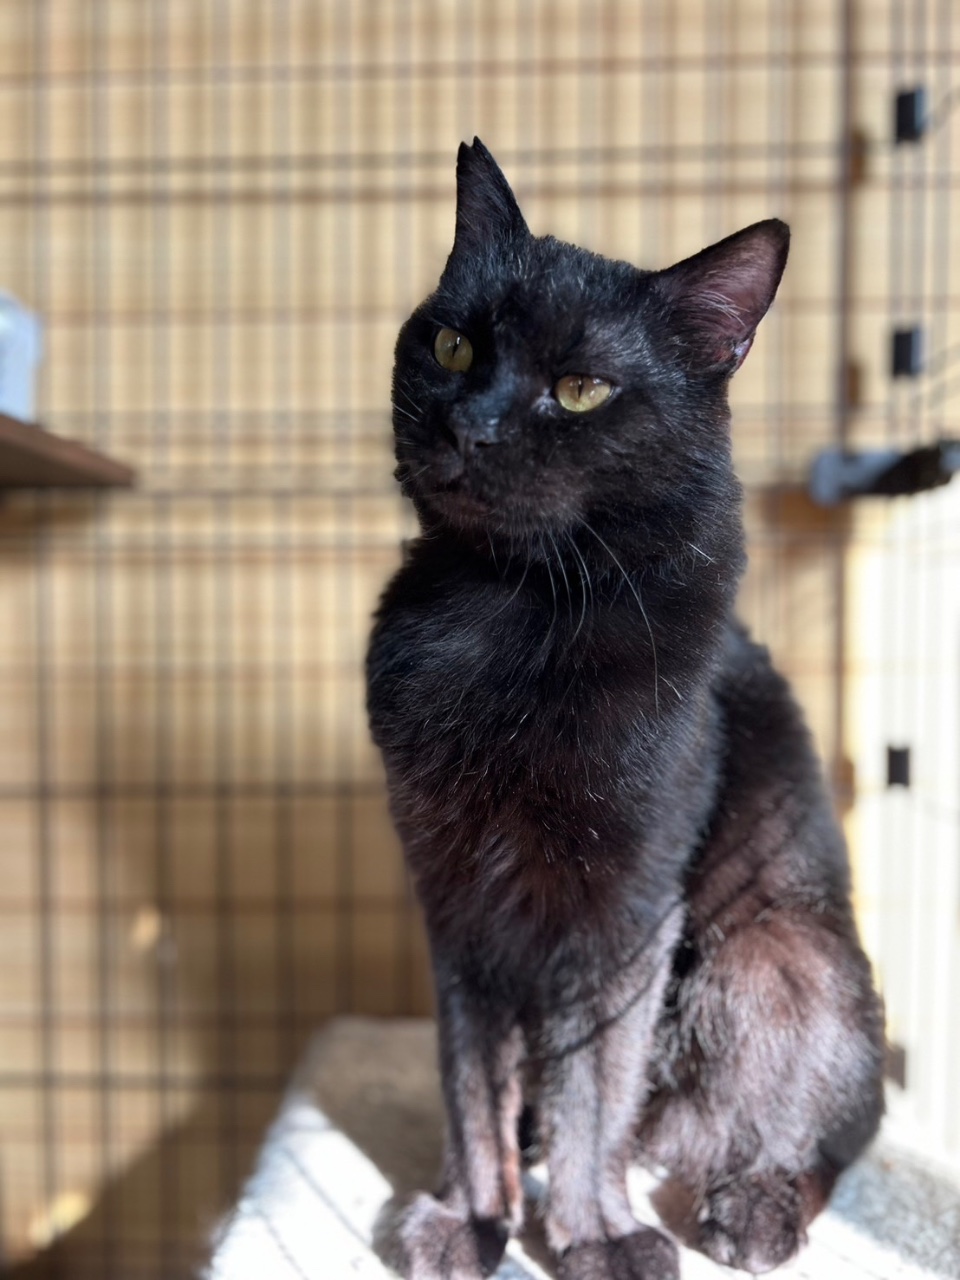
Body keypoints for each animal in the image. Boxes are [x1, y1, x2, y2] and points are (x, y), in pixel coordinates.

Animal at [366, 138, 884, 1280]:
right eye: (454, 342)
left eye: (581, 388)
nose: (467, 423)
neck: (509, 615)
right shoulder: (456, 900)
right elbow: (471, 1081)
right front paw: (474, 1217)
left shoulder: (624, 912)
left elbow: (594, 1087)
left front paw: (594, 1236)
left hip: (773, 952)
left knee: (825, 1133)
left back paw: (750, 1207)